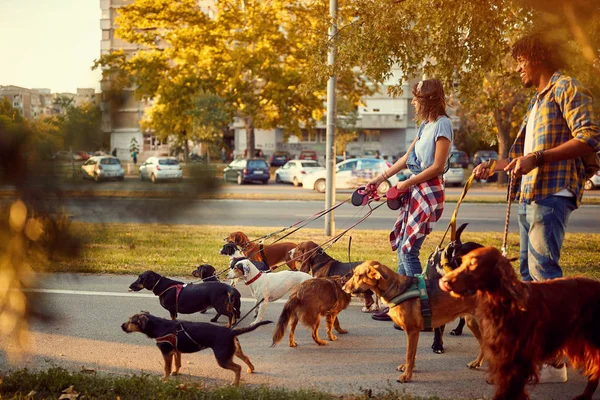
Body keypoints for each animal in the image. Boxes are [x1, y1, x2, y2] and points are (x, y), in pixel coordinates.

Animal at [122, 312, 272, 384]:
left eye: (131, 321)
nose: (122, 326)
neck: (158, 326)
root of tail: (231, 331)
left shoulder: (166, 352)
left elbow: (166, 368)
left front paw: (164, 379)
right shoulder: (175, 351)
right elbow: (177, 363)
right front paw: (175, 372)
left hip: (222, 358)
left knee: (237, 368)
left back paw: (234, 384)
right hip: (234, 351)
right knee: (246, 358)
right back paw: (251, 369)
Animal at [342, 260, 482, 382]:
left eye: (358, 275)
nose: (343, 288)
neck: (396, 288)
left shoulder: (412, 331)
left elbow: (409, 355)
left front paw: (407, 376)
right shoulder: (413, 333)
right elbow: (411, 354)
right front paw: (408, 369)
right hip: (472, 322)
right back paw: (476, 363)